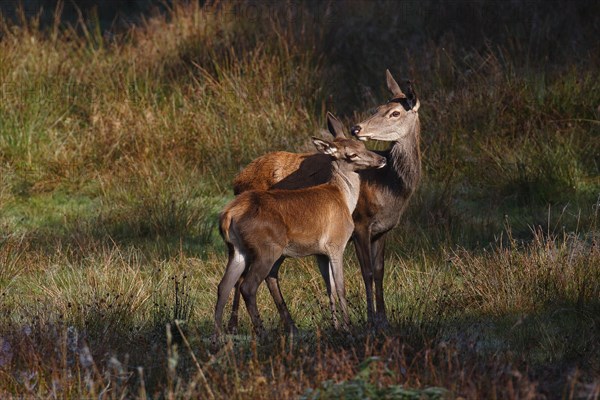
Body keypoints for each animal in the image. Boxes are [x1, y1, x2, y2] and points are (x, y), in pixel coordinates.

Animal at [214, 130, 384, 336]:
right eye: (351, 154)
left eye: (363, 146)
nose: (382, 159)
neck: (344, 199)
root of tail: (229, 214)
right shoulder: (336, 243)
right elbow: (341, 287)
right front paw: (348, 328)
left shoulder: (321, 253)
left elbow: (330, 288)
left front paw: (336, 327)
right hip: (267, 249)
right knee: (248, 286)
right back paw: (262, 332)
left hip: (237, 249)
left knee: (223, 286)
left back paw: (218, 335)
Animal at [230, 72, 422, 328]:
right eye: (378, 108)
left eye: (395, 113)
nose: (356, 128)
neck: (390, 188)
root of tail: (237, 180)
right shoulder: (361, 223)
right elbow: (367, 272)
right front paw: (370, 320)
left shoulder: (383, 230)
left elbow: (380, 271)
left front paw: (383, 320)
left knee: (266, 273)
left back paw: (287, 323)